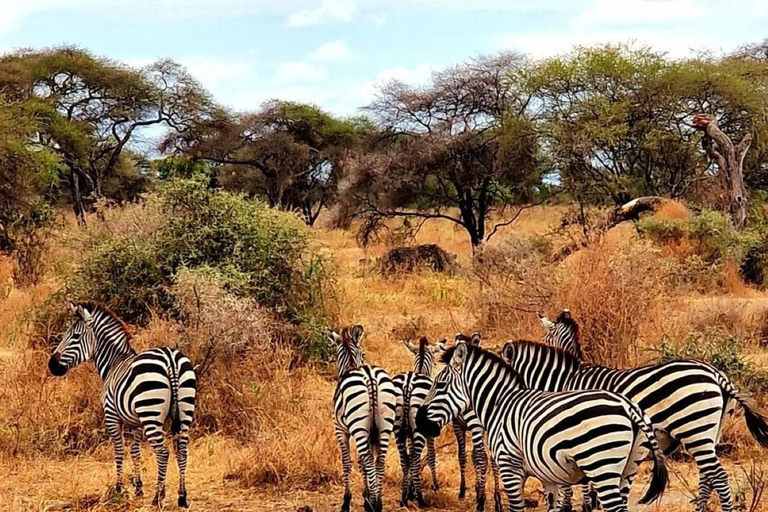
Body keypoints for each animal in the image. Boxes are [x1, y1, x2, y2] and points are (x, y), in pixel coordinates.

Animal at [47, 302, 196, 506]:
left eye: (75, 336)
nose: (51, 365)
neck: (113, 363)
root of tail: (170, 359)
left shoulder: (112, 416)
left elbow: (118, 451)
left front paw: (118, 489)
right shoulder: (135, 422)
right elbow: (135, 452)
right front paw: (138, 488)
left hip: (150, 412)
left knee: (163, 452)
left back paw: (158, 497)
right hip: (185, 409)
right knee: (182, 450)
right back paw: (182, 496)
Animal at [328, 324, 396, 512]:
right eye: (364, 354)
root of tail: (371, 377)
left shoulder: (340, 429)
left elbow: (347, 462)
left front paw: (346, 501)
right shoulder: (372, 433)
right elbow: (363, 463)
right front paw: (367, 496)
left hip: (358, 427)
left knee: (368, 460)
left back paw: (373, 504)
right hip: (385, 426)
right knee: (379, 461)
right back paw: (378, 503)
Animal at [392, 334, 448, 506]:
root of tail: (408, 384)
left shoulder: (409, 433)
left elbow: (410, 456)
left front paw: (410, 490)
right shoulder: (430, 431)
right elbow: (431, 456)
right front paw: (435, 485)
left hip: (398, 429)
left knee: (405, 459)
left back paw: (404, 498)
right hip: (418, 430)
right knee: (416, 459)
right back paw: (421, 499)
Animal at [414, 342, 664, 512]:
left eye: (440, 384)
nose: (419, 421)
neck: (500, 404)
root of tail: (627, 405)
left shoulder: (510, 467)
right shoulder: (548, 476)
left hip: (602, 465)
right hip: (628, 468)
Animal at [500, 328, 768, 512]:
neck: (567, 380)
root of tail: (718, 376)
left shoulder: (577, 436)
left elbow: (576, 484)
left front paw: (583, 505)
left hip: (695, 430)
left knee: (718, 476)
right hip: (712, 432)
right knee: (707, 477)